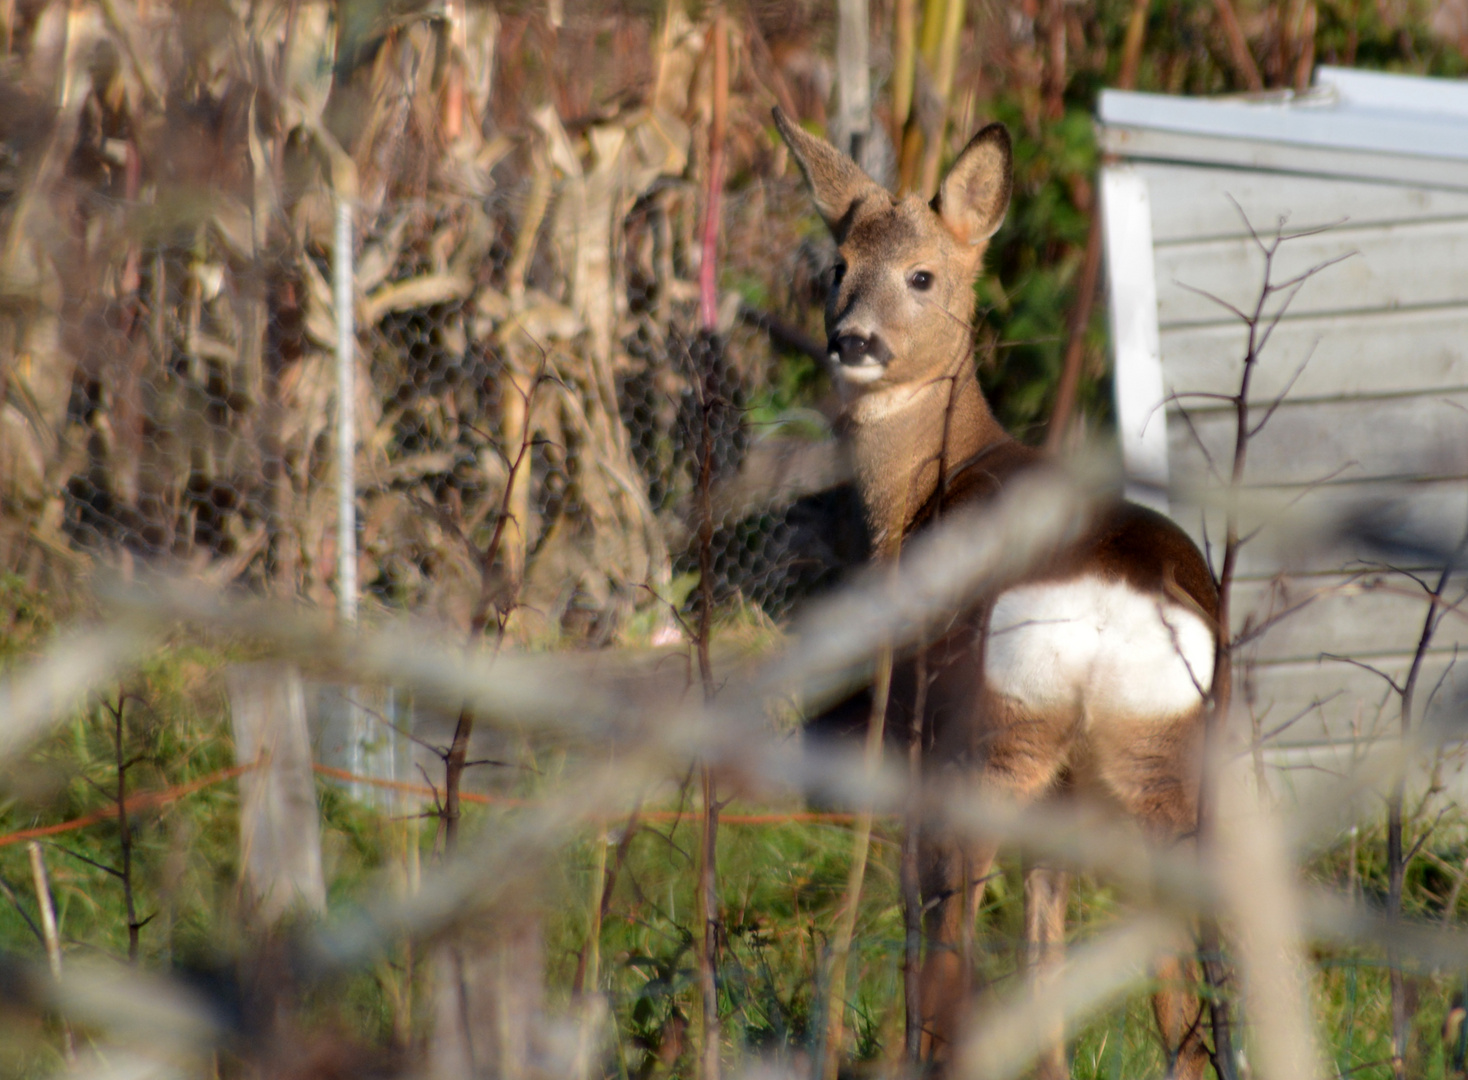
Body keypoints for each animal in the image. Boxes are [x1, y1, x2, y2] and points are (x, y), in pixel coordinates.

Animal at [775, 110, 1209, 1080]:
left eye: (922, 274)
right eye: (837, 267)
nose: (853, 341)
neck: (927, 487)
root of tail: (1112, 605)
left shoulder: (914, 723)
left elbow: (919, 911)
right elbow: (1046, 943)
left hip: (996, 733)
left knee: (953, 940)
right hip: (1156, 760)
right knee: (1177, 983)